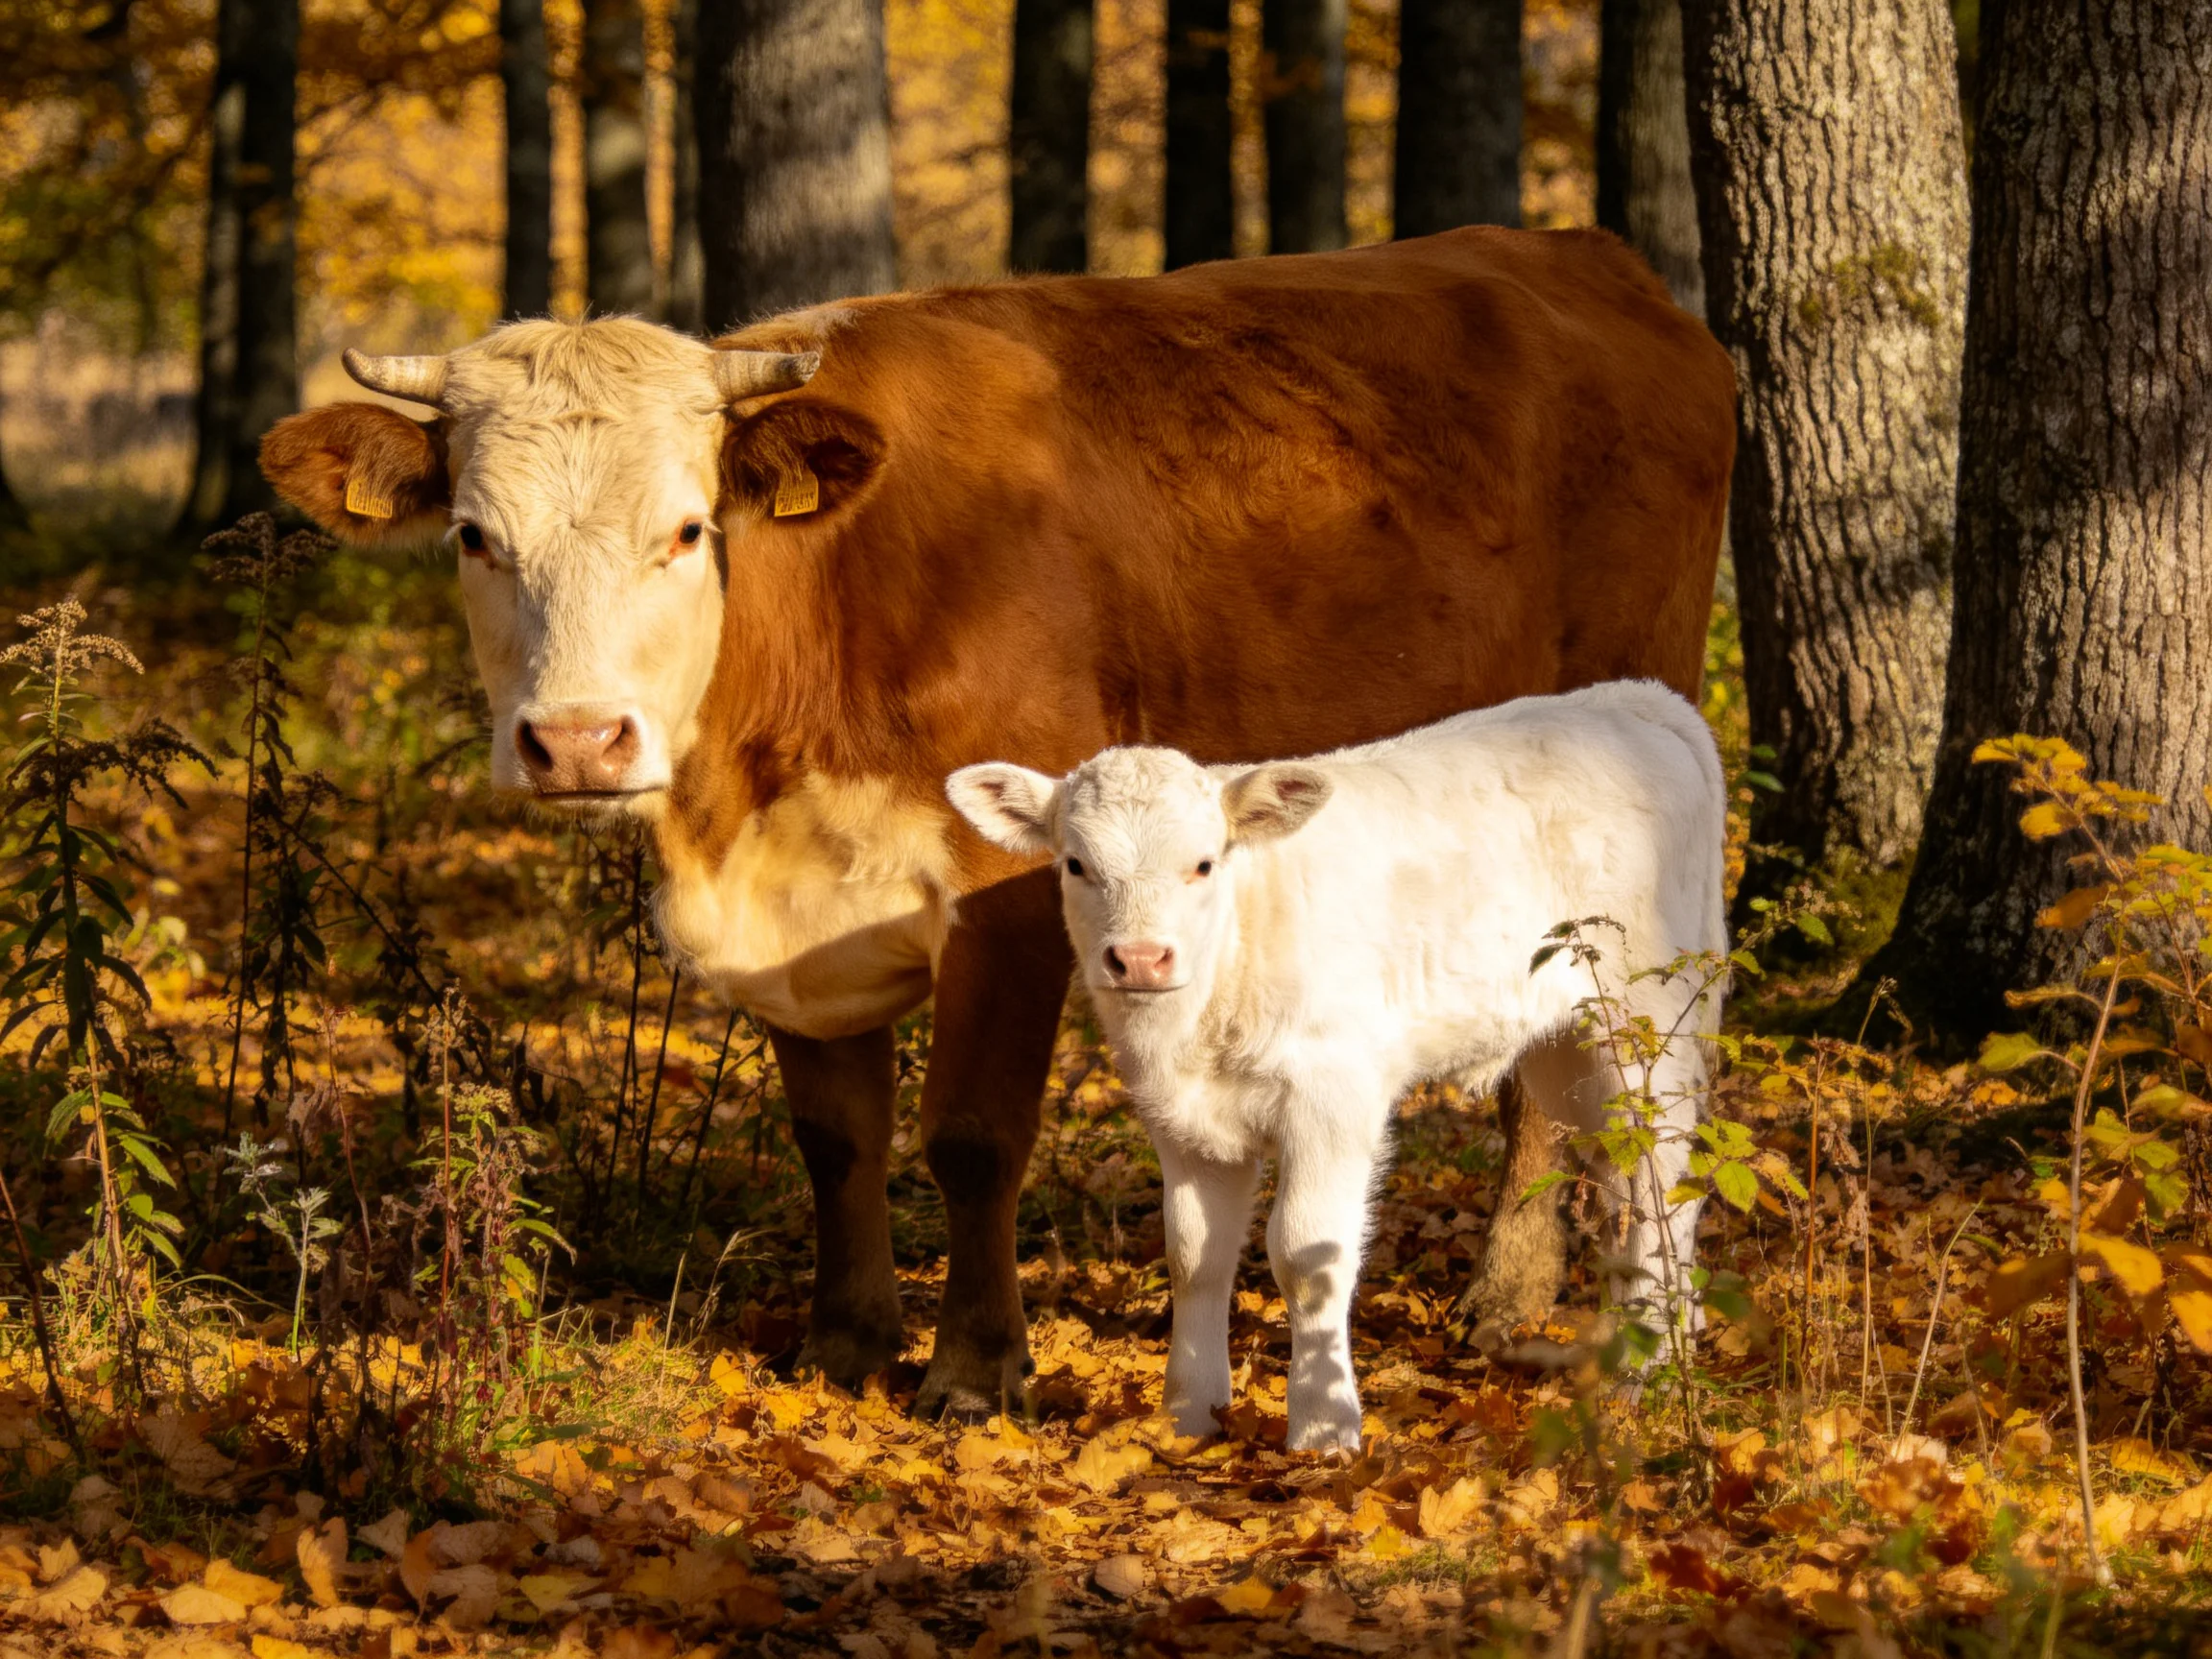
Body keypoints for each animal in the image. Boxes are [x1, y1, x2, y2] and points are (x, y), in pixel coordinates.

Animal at [947, 681, 1729, 1451]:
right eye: (1077, 865)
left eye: (1203, 864)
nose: (1139, 958)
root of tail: (1634, 700)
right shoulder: (1182, 1121)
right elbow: (1194, 1256)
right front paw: (1188, 1414)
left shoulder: (1332, 1096)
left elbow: (1306, 1256)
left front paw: (1324, 1425)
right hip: (1565, 1053)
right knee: (1624, 1184)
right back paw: (1642, 1349)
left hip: (1643, 1023)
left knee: (1663, 1178)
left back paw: (1651, 1376)